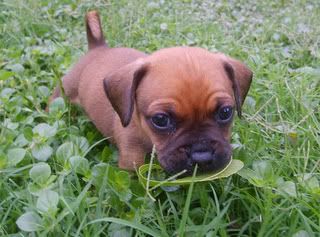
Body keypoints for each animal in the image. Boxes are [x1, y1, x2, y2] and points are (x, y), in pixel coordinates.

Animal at [50, 11, 252, 176]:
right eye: (160, 120)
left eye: (225, 112)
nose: (201, 156)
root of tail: (97, 47)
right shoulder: (132, 160)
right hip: (64, 91)